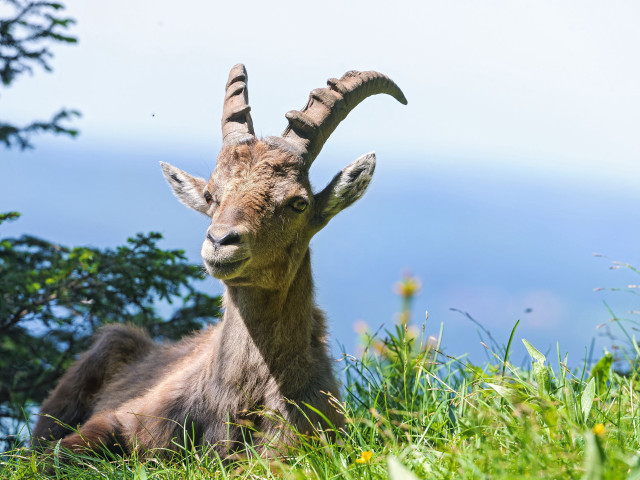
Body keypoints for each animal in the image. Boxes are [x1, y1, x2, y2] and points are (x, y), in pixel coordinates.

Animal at [33, 64, 407, 459]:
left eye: (298, 202)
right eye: (212, 195)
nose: (220, 241)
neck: (235, 395)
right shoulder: (124, 418)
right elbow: (58, 453)